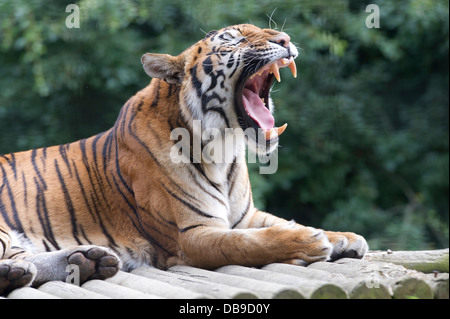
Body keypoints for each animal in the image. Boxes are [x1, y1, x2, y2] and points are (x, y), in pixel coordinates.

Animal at [0, 23, 368, 296]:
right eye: (233, 40)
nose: (286, 39)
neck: (224, 149)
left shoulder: (245, 216)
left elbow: (280, 223)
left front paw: (344, 238)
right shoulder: (191, 235)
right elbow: (247, 245)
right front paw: (309, 241)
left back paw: (87, 259)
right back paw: (20, 271)